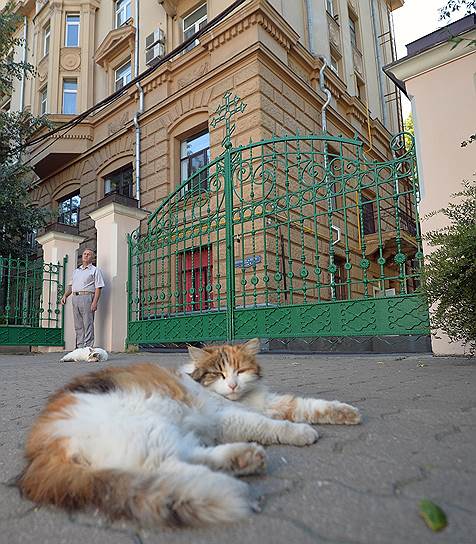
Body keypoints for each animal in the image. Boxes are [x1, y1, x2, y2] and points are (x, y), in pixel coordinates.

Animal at [183, 340, 360, 424]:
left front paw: (346, 413)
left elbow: (307, 406)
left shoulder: (270, 403)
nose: (233, 385)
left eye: (240, 371)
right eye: (218, 374)